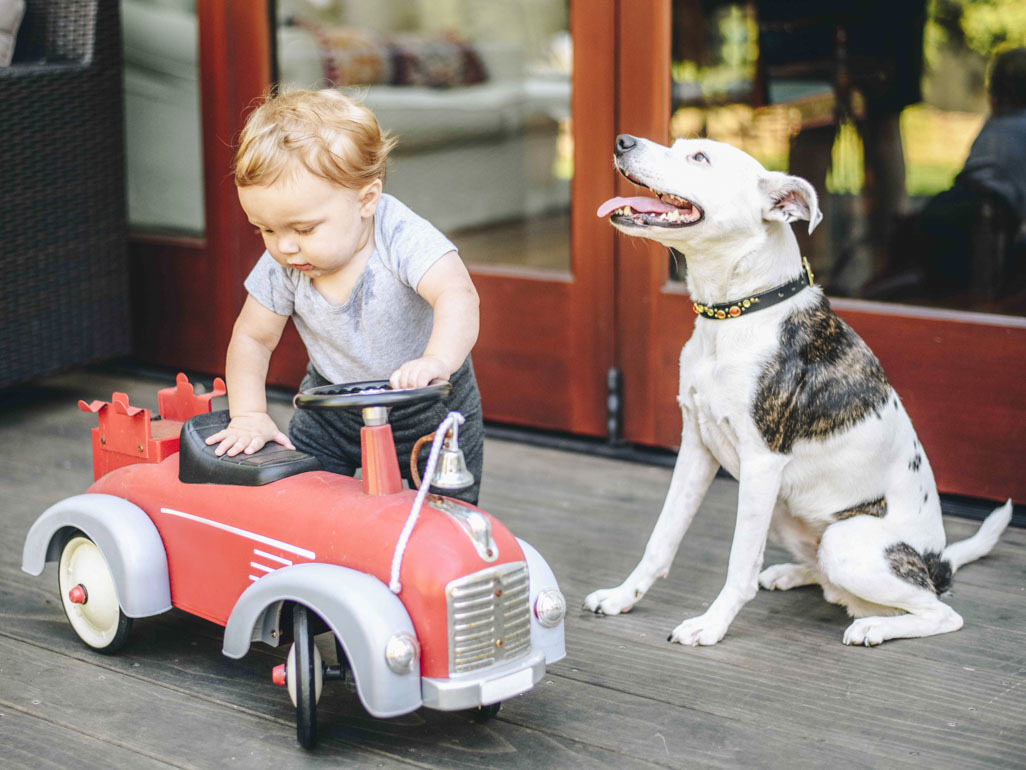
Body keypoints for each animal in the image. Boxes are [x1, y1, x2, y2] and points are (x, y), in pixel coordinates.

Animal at [586, 135, 1009, 648]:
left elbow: (739, 563)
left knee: (938, 611)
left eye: (700, 158)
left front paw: (711, 624)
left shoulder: (762, 463)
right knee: (831, 581)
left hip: (845, 542)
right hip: (787, 516)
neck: (737, 313)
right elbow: (662, 536)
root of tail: (938, 561)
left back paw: (874, 627)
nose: (622, 141)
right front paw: (622, 596)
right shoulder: (696, 449)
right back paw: (793, 574)